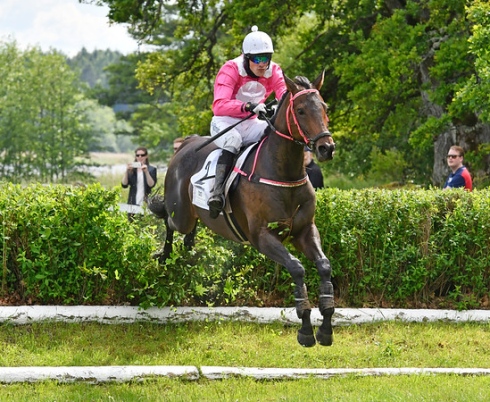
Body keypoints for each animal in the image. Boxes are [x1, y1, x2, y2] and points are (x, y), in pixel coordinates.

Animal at [156, 70, 334, 348]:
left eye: (324, 107)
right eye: (301, 110)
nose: (327, 148)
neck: (283, 172)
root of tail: (185, 144)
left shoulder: (304, 230)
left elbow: (324, 265)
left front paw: (326, 325)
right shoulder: (261, 236)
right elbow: (297, 268)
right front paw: (305, 328)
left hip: (193, 216)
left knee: (189, 234)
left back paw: (188, 255)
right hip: (181, 213)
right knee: (168, 219)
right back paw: (164, 255)